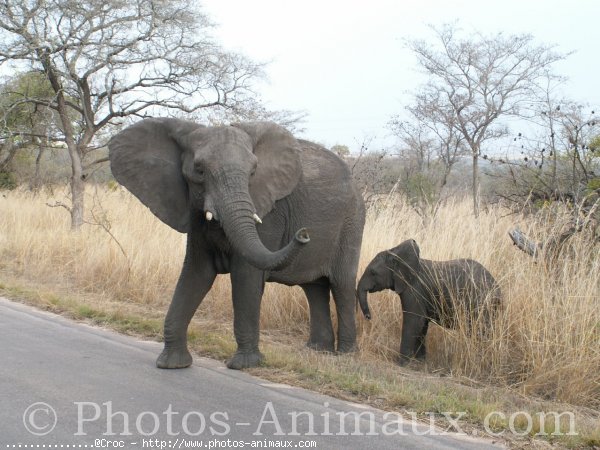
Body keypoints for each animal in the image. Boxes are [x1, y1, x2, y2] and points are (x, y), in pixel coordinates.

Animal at [106, 118, 366, 370]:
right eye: (199, 170)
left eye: (253, 172)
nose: (303, 233)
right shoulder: (194, 213)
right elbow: (197, 273)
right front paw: (172, 364)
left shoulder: (269, 213)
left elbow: (246, 276)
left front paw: (244, 365)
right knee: (315, 287)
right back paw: (318, 351)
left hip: (352, 221)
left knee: (341, 284)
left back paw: (344, 356)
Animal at [356, 241, 502, 364]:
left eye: (373, 272)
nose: (369, 317)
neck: (397, 256)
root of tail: (498, 289)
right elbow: (422, 324)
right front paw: (420, 362)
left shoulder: (414, 289)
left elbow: (414, 321)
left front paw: (402, 363)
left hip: (482, 303)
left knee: (481, 331)